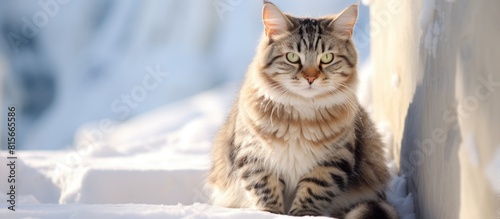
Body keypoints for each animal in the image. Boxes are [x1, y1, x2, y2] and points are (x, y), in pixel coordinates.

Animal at [207, 2, 398, 219]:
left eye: (327, 58)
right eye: (292, 57)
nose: (310, 77)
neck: (300, 117)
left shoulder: (334, 159)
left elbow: (314, 189)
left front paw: (303, 215)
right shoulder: (254, 154)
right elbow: (266, 189)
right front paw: (271, 214)